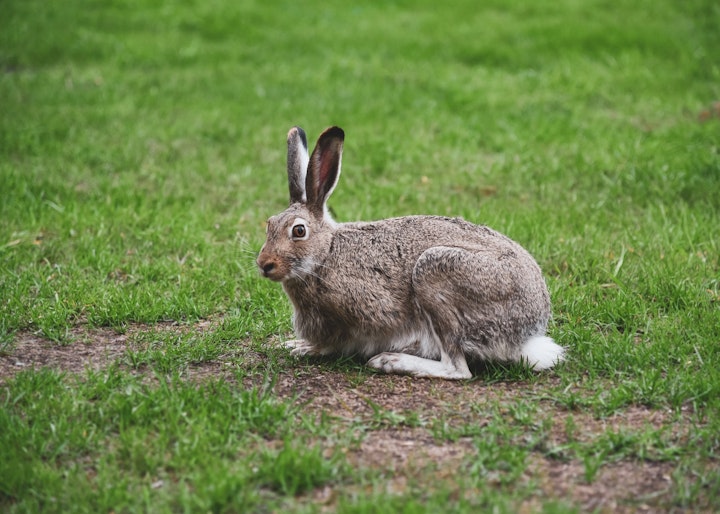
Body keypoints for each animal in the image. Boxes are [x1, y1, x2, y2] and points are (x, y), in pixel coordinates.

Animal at [256, 126, 564, 378]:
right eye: (269, 224)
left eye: (299, 231)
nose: (264, 264)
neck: (326, 254)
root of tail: (529, 330)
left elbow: (337, 343)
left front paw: (303, 348)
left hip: (435, 273)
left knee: (457, 368)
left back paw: (391, 361)